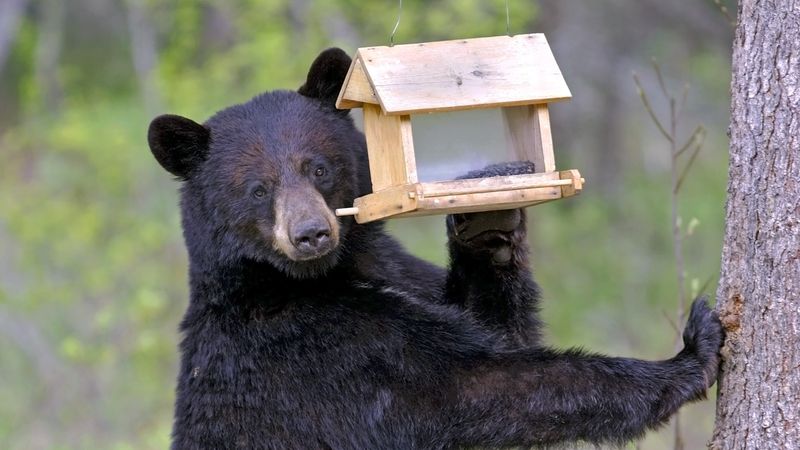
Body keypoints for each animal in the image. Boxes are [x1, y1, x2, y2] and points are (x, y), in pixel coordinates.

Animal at [147, 48, 723, 449]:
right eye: (257, 189)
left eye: (319, 168)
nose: (311, 233)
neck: (319, 276)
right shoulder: (321, 352)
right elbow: (479, 384)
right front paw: (690, 354)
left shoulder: (398, 270)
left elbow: (496, 328)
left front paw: (487, 220)